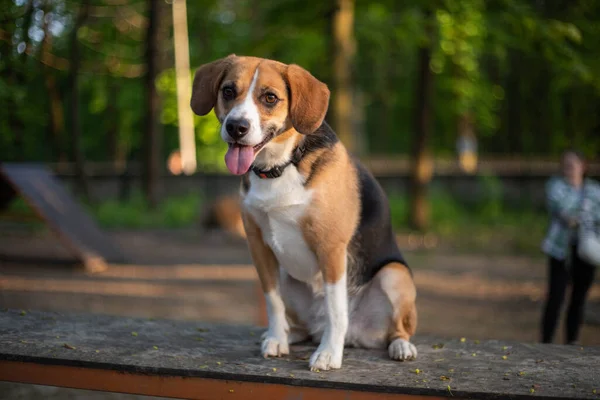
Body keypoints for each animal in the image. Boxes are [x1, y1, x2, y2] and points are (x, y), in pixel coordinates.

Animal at [192, 54, 418, 370]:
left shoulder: (331, 247)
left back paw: (400, 346)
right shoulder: (259, 246)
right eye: (227, 91)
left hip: (395, 274)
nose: (236, 127)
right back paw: (290, 334)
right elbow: (273, 302)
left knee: (395, 329)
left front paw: (329, 354)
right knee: (303, 325)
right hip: (286, 274)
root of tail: (356, 336)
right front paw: (277, 339)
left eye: (270, 97)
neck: (281, 165)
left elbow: (336, 309)